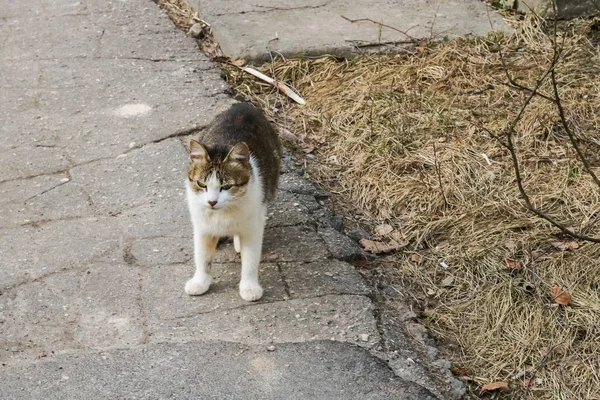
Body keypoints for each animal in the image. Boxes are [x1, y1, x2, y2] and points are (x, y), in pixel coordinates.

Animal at [185, 102, 282, 300]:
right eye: (201, 184)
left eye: (226, 186)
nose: (211, 202)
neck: (223, 214)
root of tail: (242, 104)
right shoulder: (202, 226)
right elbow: (202, 256)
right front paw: (200, 282)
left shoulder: (253, 225)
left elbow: (251, 259)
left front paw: (249, 287)